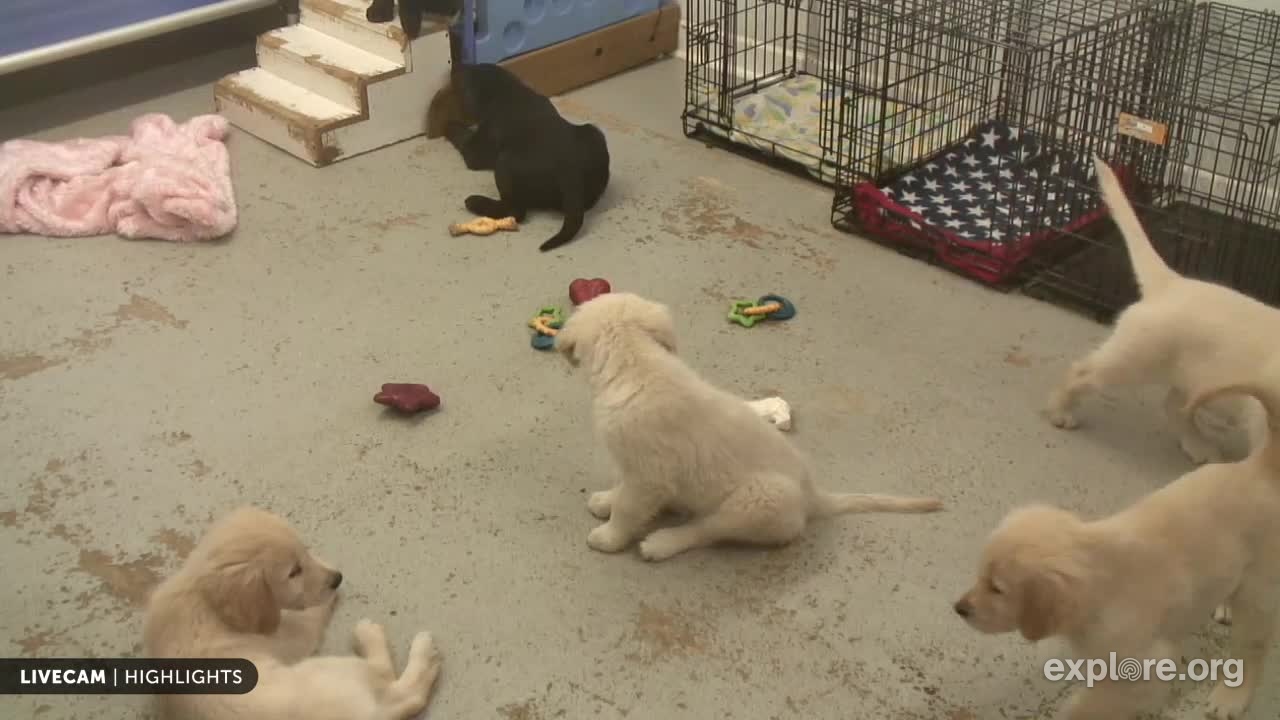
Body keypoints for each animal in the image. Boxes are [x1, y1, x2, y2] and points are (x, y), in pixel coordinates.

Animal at [144, 504, 442, 717]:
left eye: (304, 552)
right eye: (294, 572)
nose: (337, 578)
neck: (202, 598)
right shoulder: (288, 637)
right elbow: (308, 615)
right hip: (332, 670)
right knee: (396, 686)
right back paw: (393, 641)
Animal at [448, 62, 611, 252]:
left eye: (463, 81)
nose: (457, 67)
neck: (507, 89)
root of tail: (570, 173)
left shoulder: (476, 149)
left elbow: (460, 135)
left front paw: (448, 125)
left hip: (504, 163)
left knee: (516, 210)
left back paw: (476, 202)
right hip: (595, 134)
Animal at [555, 292, 947, 561]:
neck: (636, 365)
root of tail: (813, 496)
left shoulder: (649, 475)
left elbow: (628, 508)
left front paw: (609, 536)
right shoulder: (635, 467)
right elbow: (622, 489)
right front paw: (607, 499)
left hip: (758, 500)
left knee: (706, 529)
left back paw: (664, 542)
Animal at [957, 376, 1280, 717]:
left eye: (997, 589)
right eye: (980, 577)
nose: (959, 608)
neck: (1101, 586)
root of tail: (1262, 465)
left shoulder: (1144, 668)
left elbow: (1089, 706)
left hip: (1258, 595)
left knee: (1252, 650)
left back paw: (1231, 696)